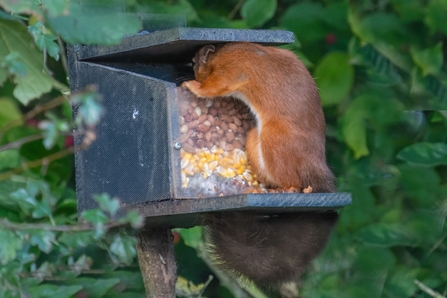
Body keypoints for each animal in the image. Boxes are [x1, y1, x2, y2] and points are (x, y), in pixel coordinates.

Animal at [180, 43, 338, 292]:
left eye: (195, 62)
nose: (191, 73)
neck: (222, 53)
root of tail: (315, 163)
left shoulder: (232, 70)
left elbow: (214, 87)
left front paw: (191, 86)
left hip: (275, 139)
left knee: (294, 184)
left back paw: (281, 189)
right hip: (255, 139)